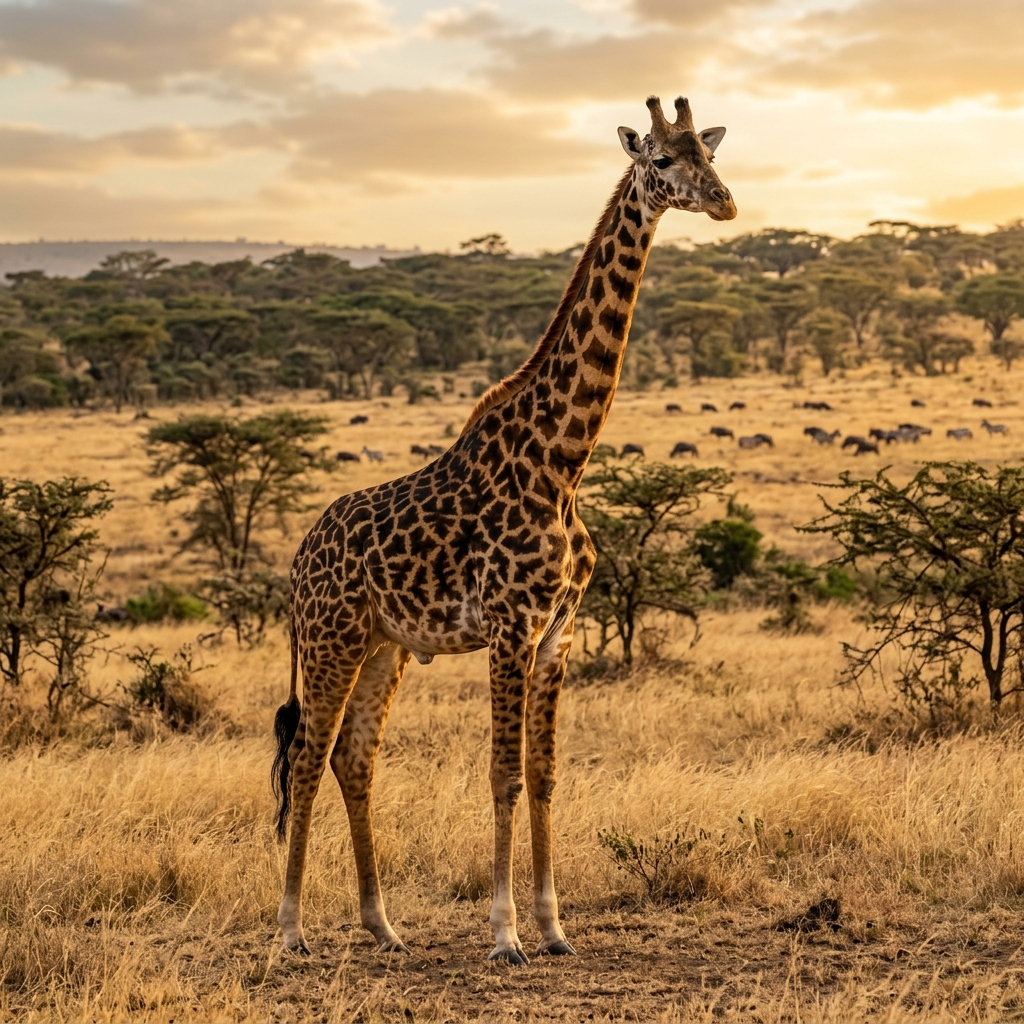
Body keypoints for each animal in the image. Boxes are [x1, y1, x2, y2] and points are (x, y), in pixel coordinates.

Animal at [272, 95, 736, 964]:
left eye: (711, 153)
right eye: (660, 160)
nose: (724, 201)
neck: (562, 462)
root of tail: (297, 558)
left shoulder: (558, 630)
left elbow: (546, 774)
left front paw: (554, 927)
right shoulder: (510, 627)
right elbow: (503, 774)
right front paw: (504, 933)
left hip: (385, 646)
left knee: (353, 758)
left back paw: (382, 925)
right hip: (330, 639)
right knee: (310, 755)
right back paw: (290, 930)